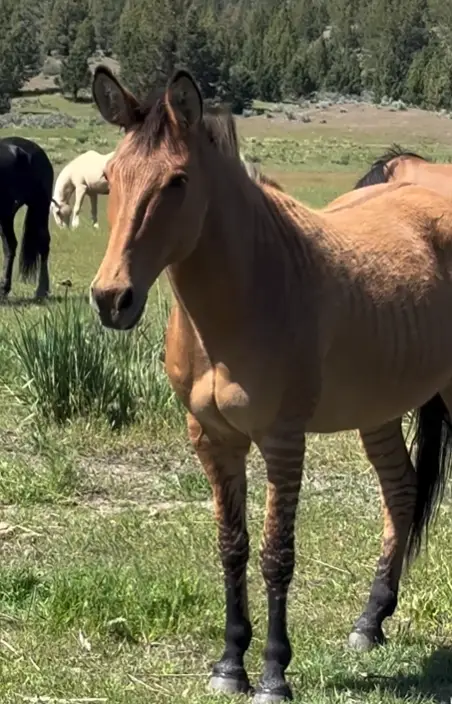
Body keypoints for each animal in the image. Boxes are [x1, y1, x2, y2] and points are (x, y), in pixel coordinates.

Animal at [90, 66, 452, 703]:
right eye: (110, 178)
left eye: (177, 180)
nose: (112, 299)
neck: (249, 290)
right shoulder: (212, 439)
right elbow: (231, 548)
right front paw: (229, 663)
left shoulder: (284, 440)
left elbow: (276, 554)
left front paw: (273, 674)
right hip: (379, 407)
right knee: (402, 491)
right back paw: (370, 622)